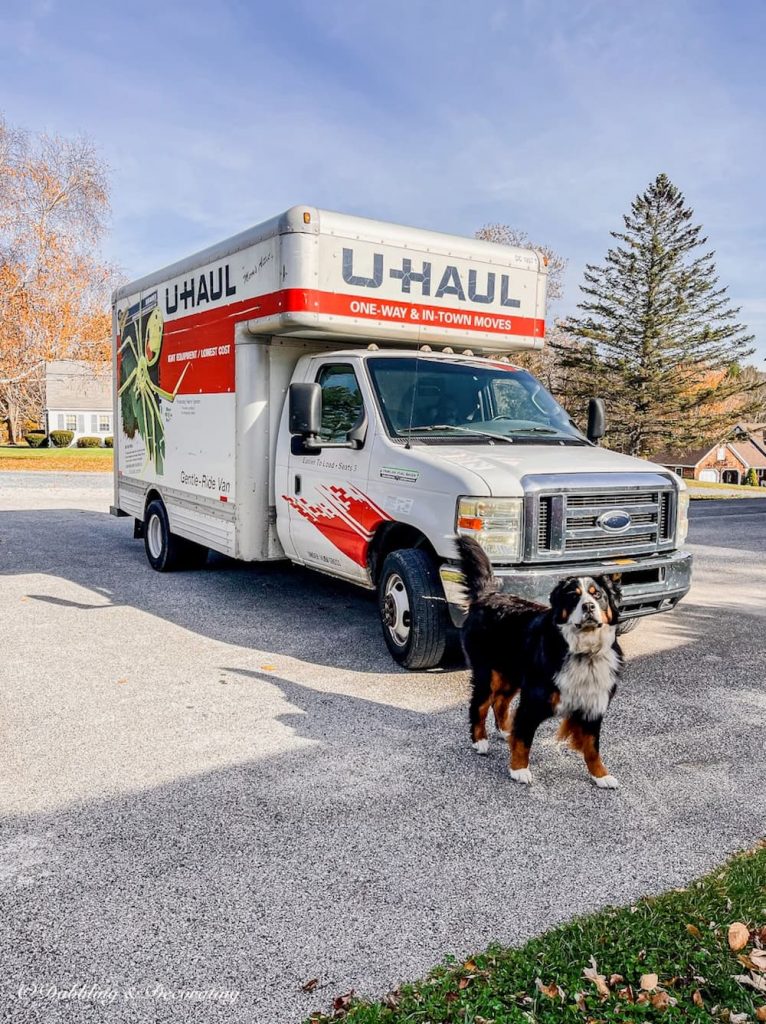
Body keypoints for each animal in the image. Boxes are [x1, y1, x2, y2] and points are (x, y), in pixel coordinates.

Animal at [454, 536, 622, 790]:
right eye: (574, 596)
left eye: (598, 595)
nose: (588, 606)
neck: (583, 651)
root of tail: (489, 595)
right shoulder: (533, 701)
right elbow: (524, 739)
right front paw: (519, 770)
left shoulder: (593, 704)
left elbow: (593, 747)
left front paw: (601, 775)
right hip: (487, 673)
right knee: (480, 705)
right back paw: (480, 741)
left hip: (511, 673)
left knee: (500, 702)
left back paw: (505, 731)